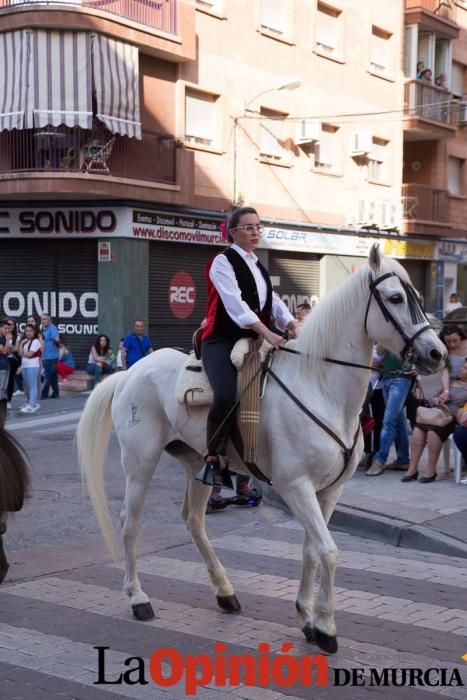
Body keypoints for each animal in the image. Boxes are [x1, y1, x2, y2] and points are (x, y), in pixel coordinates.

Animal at [77, 243, 446, 652]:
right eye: (396, 298)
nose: (437, 354)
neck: (319, 386)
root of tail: (131, 370)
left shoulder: (329, 491)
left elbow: (312, 551)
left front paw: (308, 617)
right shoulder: (295, 486)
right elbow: (329, 551)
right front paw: (327, 627)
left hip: (198, 463)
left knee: (193, 520)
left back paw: (224, 591)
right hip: (140, 462)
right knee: (130, 522)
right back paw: (138, 598)